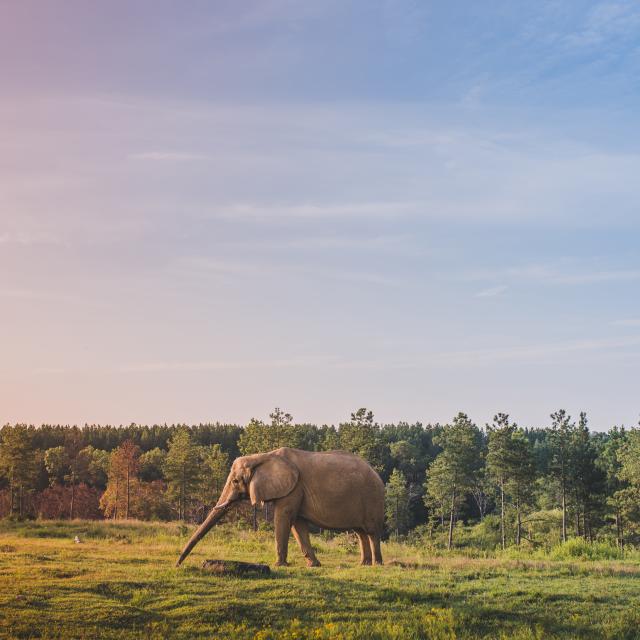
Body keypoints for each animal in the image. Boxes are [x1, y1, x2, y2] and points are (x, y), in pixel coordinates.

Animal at [176, 447, 385, 567]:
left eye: (235, 481)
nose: (177, 565)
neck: (263, 456)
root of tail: (376, 474)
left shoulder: (294, 488)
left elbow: (283, 517)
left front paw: (279, 565)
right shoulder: (296, 489)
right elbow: (298, 524)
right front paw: (314, 565)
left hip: (372, 497)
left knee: (371, 531)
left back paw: (377, 565)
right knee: (360, 532)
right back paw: (364, 564)